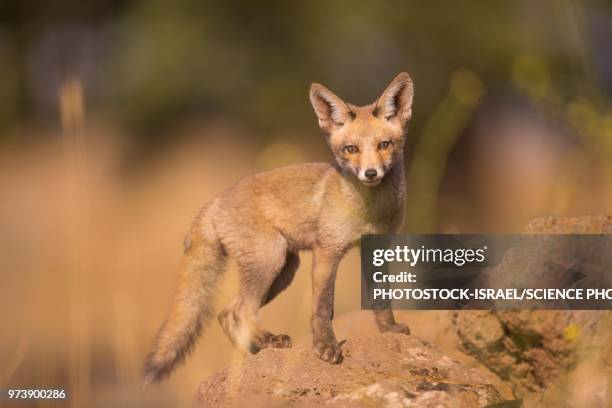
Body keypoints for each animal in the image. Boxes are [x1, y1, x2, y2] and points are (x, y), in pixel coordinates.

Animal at [141, 72, 414, 382]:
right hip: (270, 259)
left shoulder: (378, 248)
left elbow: (382, 300)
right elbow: (323, 307)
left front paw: (389, 330)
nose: (370, 173)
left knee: (227, 313)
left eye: (385, 145)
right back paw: (269, 341)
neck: (370, 209)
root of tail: (216, 199)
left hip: (284, 270)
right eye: (351, 149)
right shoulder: (327, 251)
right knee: (242, 310)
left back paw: (254, 354)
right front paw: (326, 347)